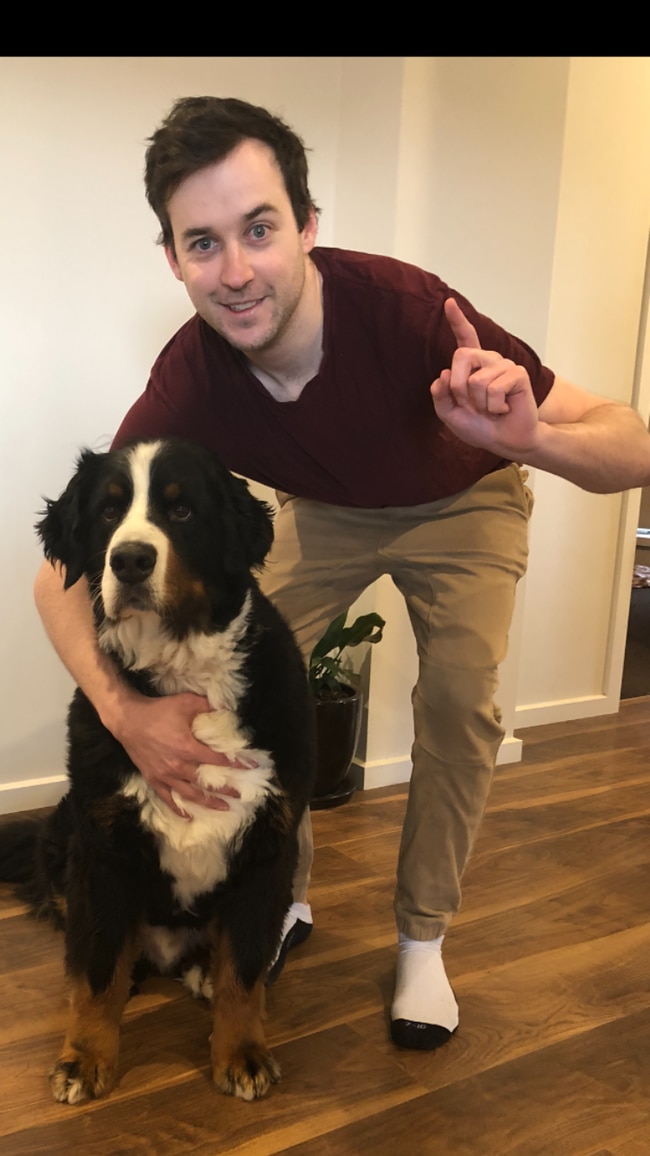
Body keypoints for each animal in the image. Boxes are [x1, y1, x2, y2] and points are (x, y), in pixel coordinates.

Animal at [0, 436, 314, 1105]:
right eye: (108, 511)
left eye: (182, 511)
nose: (130, 561)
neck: (185, 673)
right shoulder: (102, 846)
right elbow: (96, 971)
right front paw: (84, 1058)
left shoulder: (268, 847)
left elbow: (246, 969)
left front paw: (242, 1052)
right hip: (65, 829)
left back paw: (202, 972)